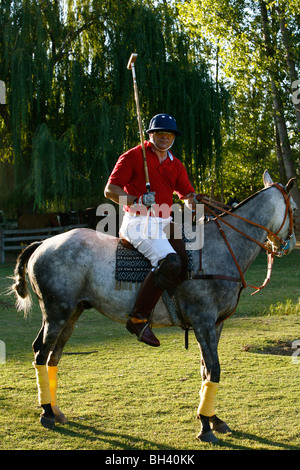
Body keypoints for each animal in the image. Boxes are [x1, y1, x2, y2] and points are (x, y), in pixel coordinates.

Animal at [11, 171, 296, 442]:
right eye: (294, 207)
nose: (291, 245)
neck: (223, 249)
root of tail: (42, 243)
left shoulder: (216, 325)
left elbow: (206, 370)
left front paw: (212, 419)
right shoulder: (203, 321)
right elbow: (213, 369)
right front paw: (205, 428)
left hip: (73, 311)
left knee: (53, 355)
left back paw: (56, 410)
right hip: (56, 312)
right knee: (41, 352)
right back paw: (47, 413)